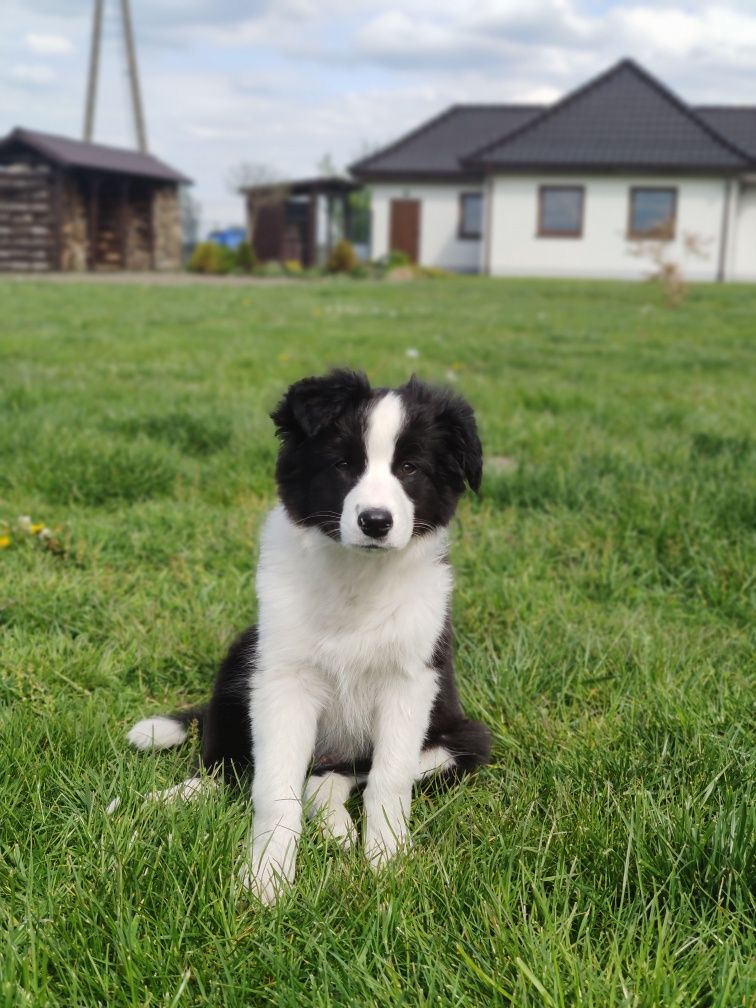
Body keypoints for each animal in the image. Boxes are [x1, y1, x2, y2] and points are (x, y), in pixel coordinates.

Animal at [124, 370, 491, 907]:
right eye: (343, 465)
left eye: (410, 468)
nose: (375, 522)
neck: (357, 579)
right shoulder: (282, 680)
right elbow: (275, 790)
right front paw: (266, 877)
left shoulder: (411, 682)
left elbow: (389, 780)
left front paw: (388, 861)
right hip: (244, 654)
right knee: (227, 771)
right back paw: (167, 800)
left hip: (464, 739)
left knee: (330, 779)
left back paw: (337, 828)